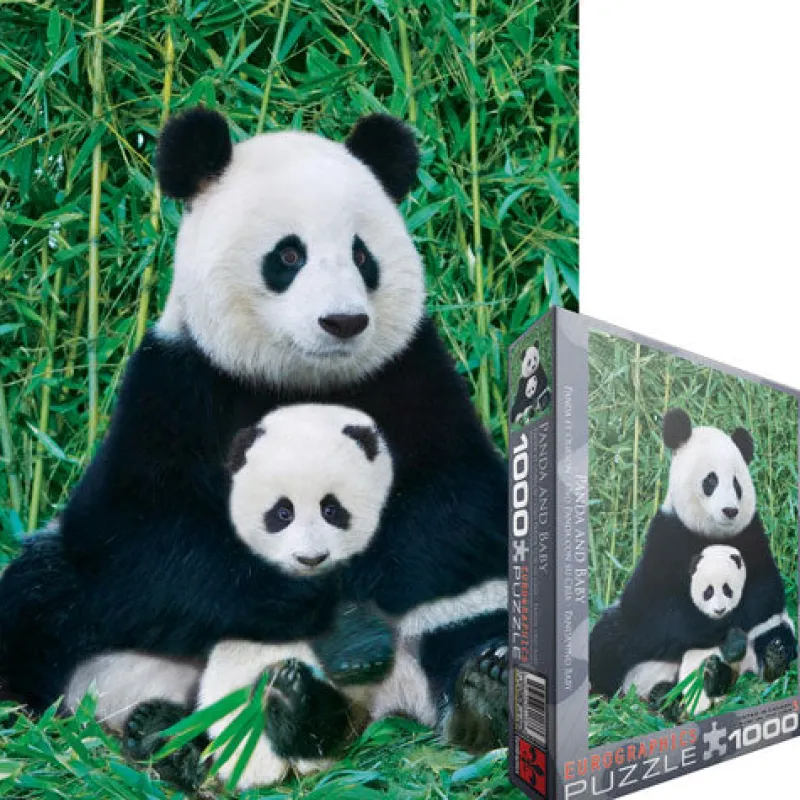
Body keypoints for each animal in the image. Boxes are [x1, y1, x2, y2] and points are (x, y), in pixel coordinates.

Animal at [0, 108, 508, 758]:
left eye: (361, 255)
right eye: (288, 256)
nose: (343, 321)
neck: (299, 378)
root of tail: (379, 706)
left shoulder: (412, 374)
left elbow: (459, 502)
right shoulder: (176, 385)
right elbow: (140, 534)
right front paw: (327, 609)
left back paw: (477, 691)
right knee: (40, 600)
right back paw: (174, 729)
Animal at [589, 408, 797, 707]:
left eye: (737, 484)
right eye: (711, 480)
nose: (730, 510)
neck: (710, 534)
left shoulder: (751, 536)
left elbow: (765, 591)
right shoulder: (667, 537)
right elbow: (657, 607)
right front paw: (717, 626)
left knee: (777, 632)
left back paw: (766, 658)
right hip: (628, 644)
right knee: (607, 643)